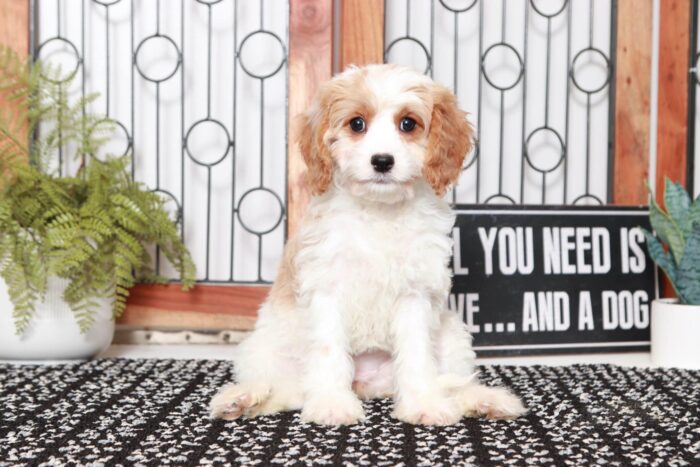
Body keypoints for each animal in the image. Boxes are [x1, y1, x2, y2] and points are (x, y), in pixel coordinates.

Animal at [211, 64, 528, 426]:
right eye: (357, 124)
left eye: (408, 124)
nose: (382, 161)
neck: (379, 211)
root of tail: (367, 383)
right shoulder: (327, 288)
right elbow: (328, 350)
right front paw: (332, 404)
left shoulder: (415, 294)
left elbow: (417, 356)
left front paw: (423, 404)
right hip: (262, 348)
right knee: (287, 388)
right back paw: (241, 399)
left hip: (453, 337)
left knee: (452, 383)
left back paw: (486, 400)